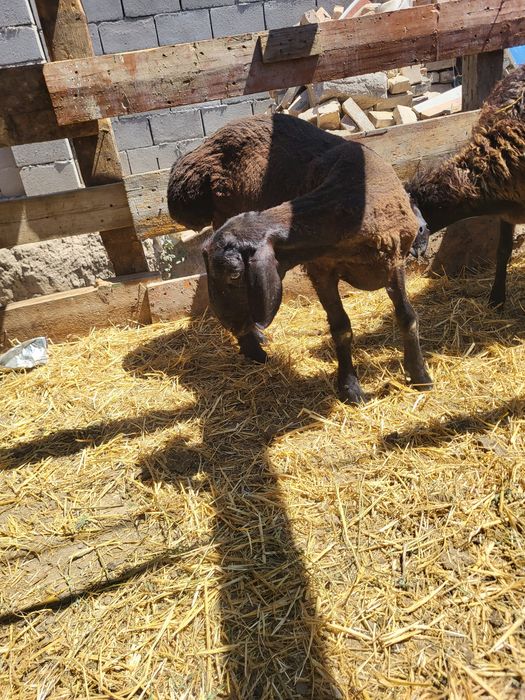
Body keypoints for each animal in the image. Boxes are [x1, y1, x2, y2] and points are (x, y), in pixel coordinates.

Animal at [202, 140, 432, 404]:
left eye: (234, 273)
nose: (228, 323)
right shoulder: (322, 272)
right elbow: (341, 328)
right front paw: (350, 388)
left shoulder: (394, 264)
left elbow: (407, 317)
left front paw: (420, 376)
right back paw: (254, 348)